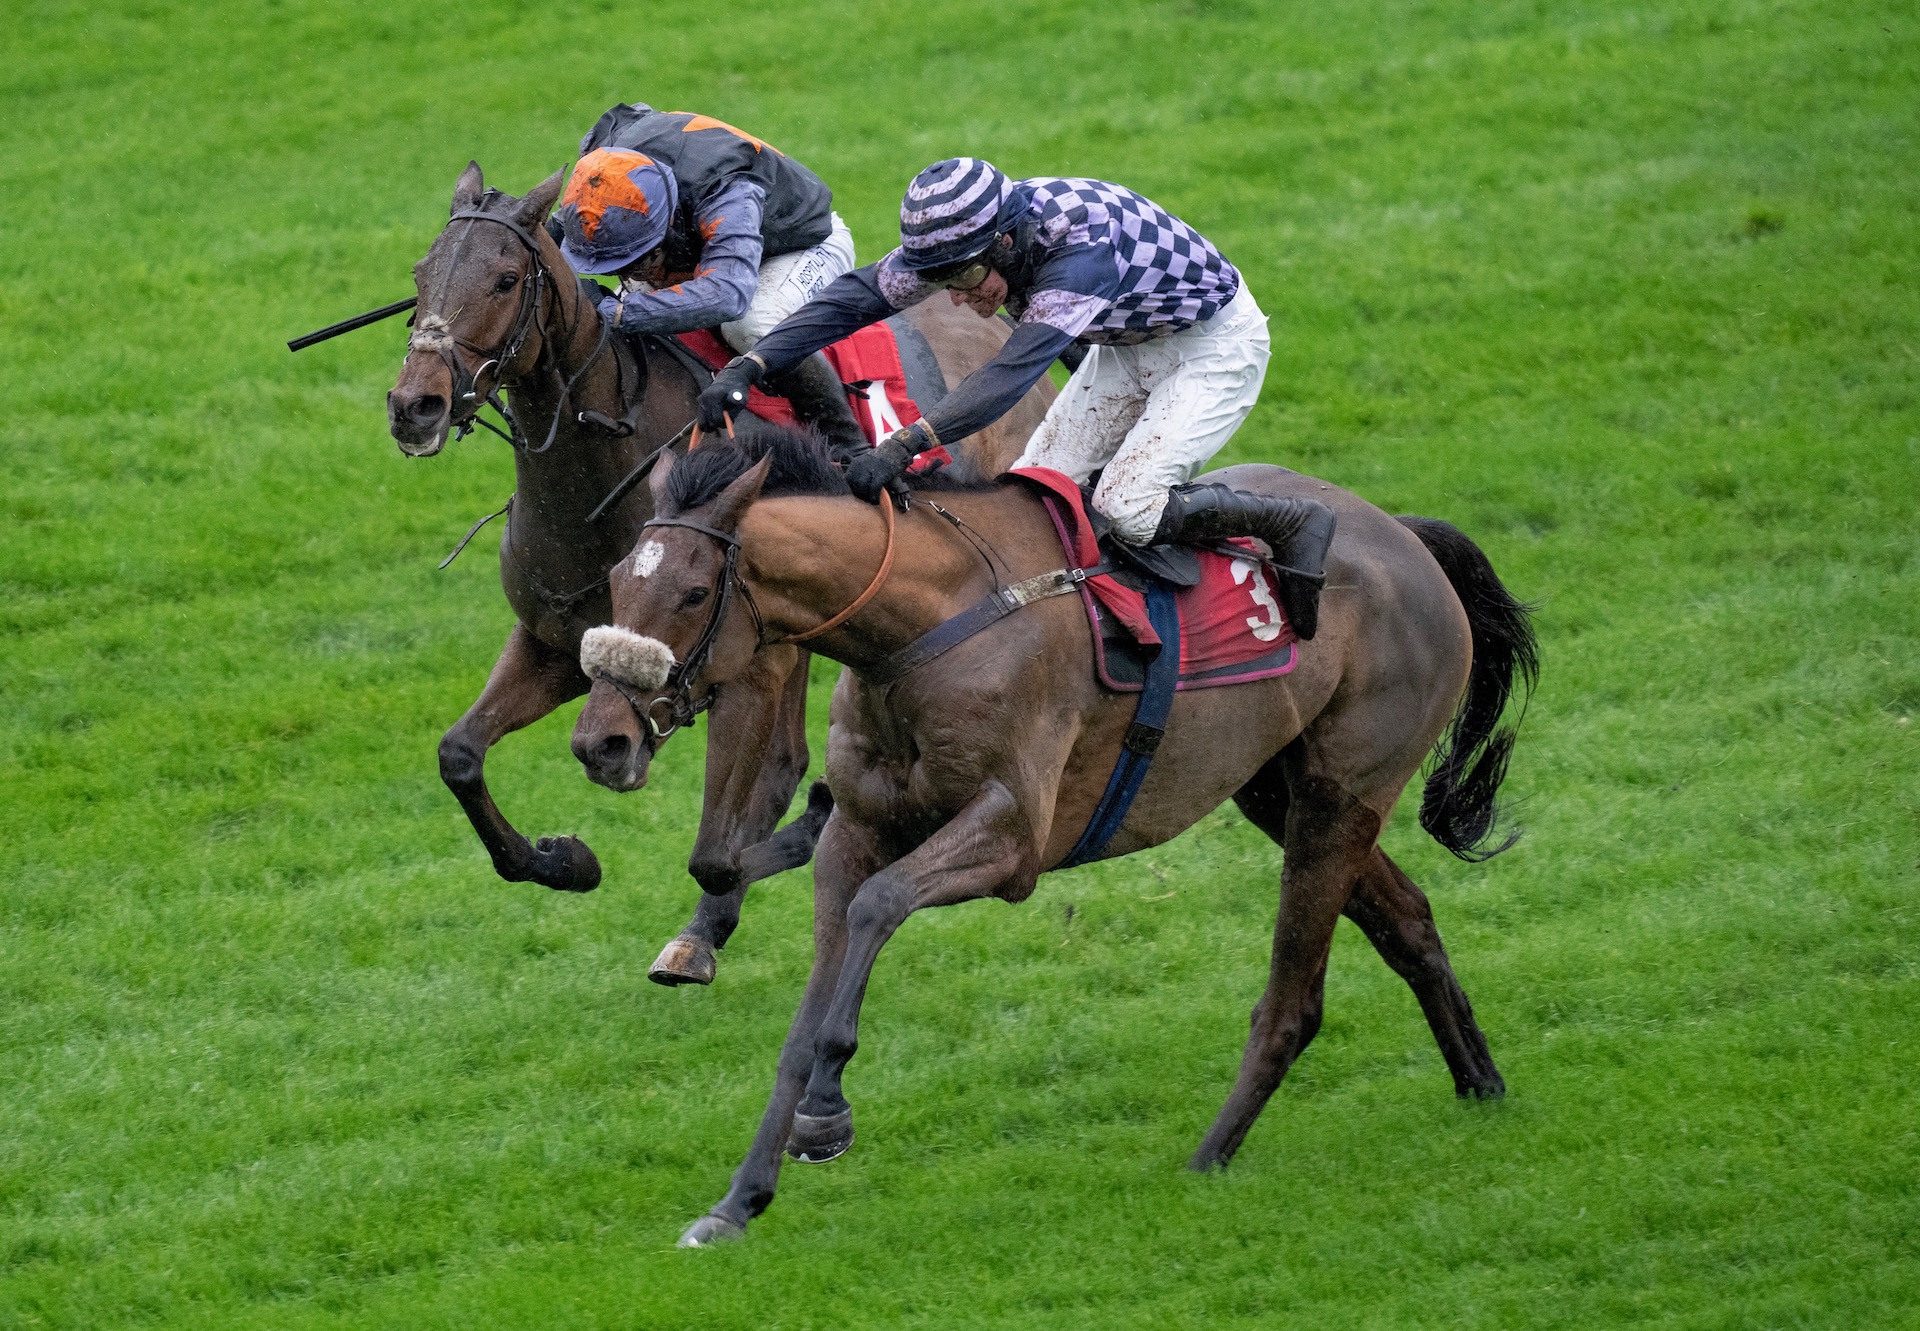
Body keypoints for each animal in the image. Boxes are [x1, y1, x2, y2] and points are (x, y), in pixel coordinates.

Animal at [384, 158, 1059, 983]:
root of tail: (996, 318)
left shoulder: (741, 668)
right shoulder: (558, 644)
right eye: (421, 275)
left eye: (506, 279)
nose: (415, 405)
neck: (597, 477)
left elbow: (716, 849)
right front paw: (563, 860)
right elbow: (459, 755)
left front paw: (794, 838)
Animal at [572, 428, 1543, 1244]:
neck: (927, 623)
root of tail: (1404, 536)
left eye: (694, 590)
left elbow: (881, 907)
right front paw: (739, 1198)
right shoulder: (859, 830)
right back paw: (1482, 1081)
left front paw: (826, 1112)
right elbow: (810, 1001)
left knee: (1294, 999)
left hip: (1342, 796)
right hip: (1284, 789)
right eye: (617, 579)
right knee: (1407, 919)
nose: (600, 741)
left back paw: (1208, 1157)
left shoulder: (1011, 838)